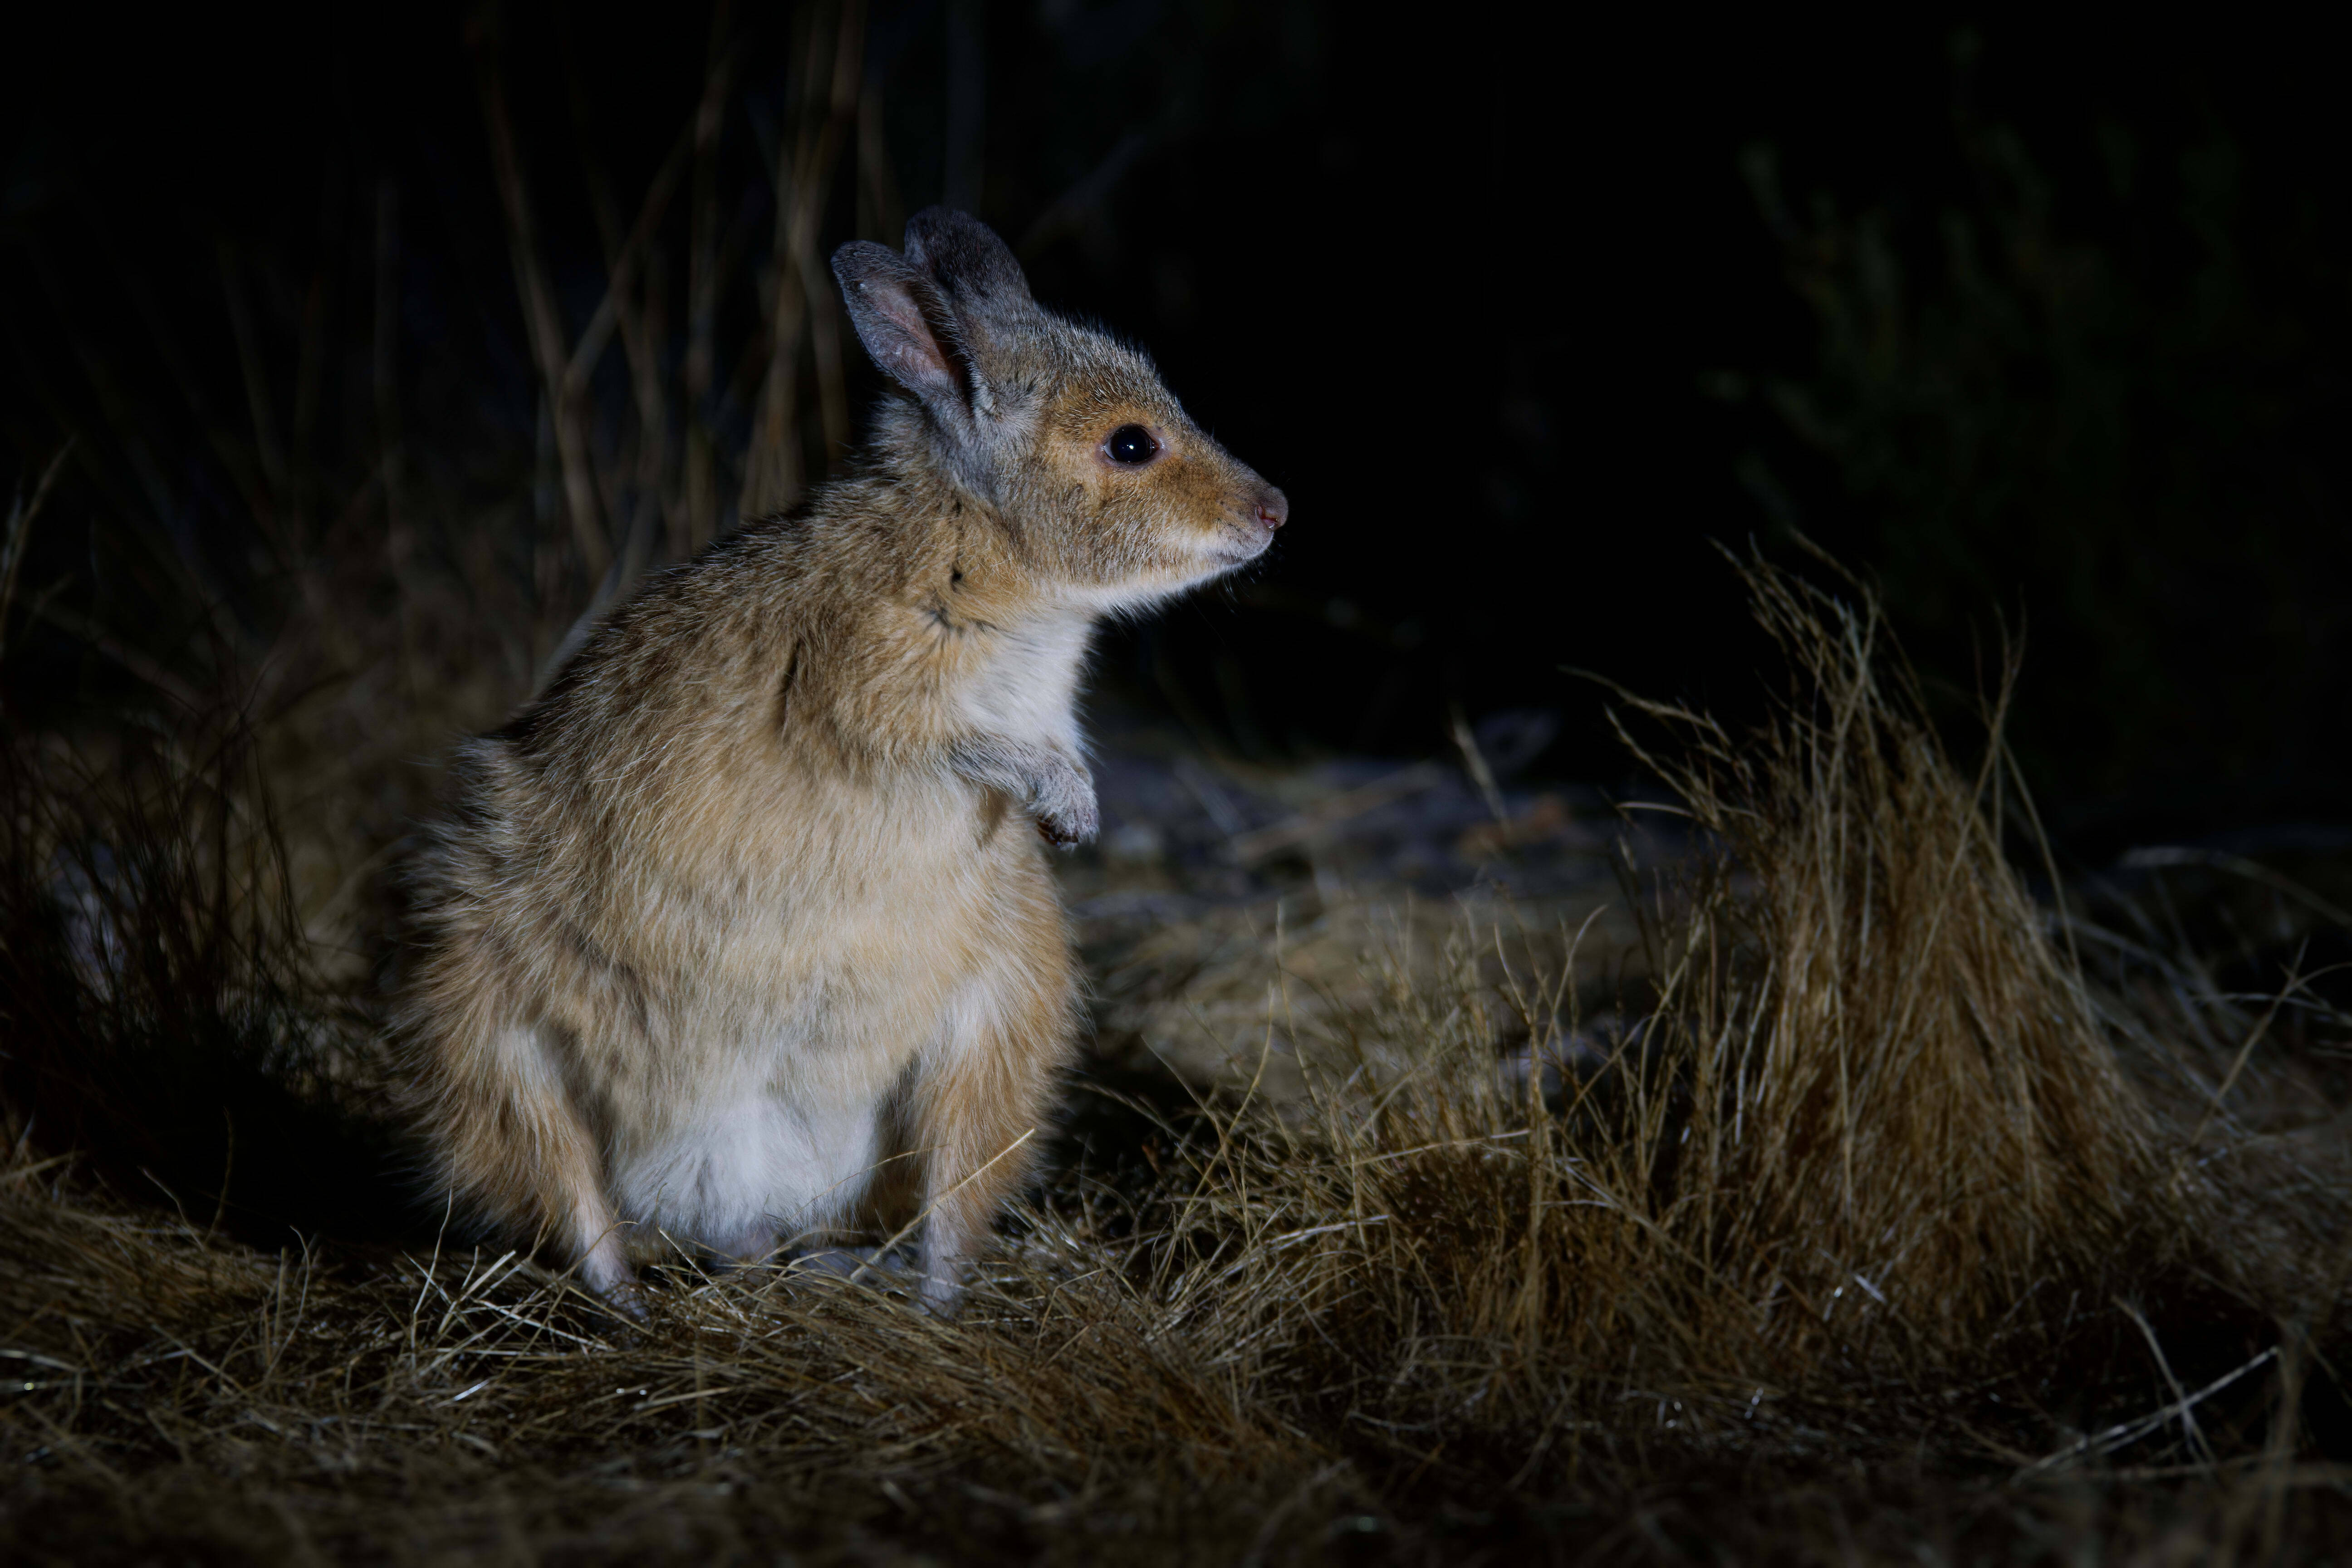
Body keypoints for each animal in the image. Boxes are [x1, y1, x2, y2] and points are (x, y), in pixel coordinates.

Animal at [399, 207, 1287, 1315]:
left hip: (1002, 1023)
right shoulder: (868, 692)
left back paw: (878, 1283)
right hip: (483, 1029)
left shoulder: (1041, 711)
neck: (997, 561)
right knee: (572, 1200)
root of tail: (745, 1196)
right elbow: (951, 740)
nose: (1277, 510)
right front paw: (1065, 808)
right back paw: (633, 1302)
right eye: (1132, 444)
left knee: (944, 1208)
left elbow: (1054, 748)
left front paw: (1073, 810)